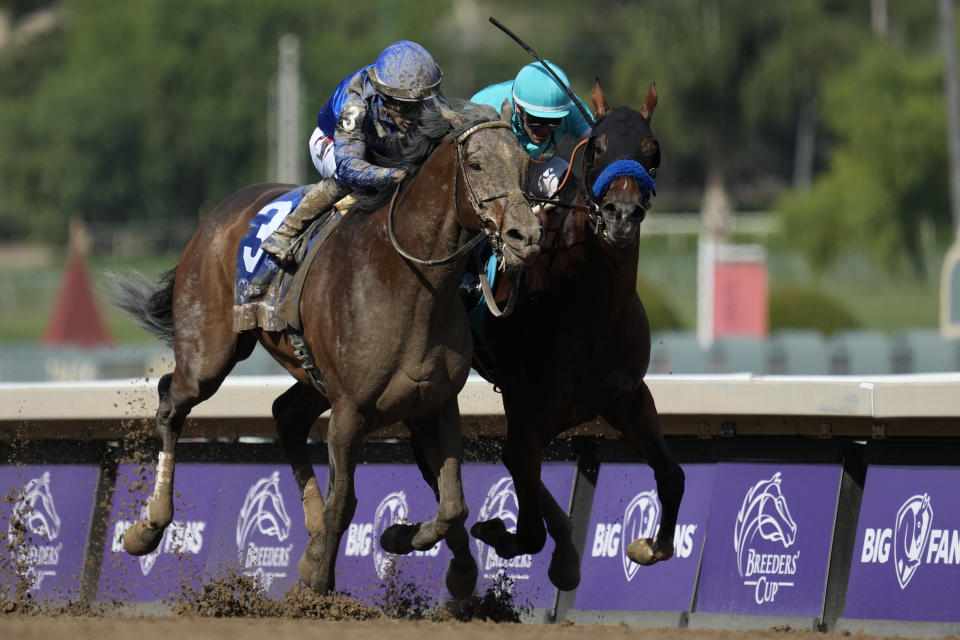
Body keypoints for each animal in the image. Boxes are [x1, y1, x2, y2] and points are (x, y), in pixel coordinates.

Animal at [110, 102, 540, 596]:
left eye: (525, 165)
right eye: (476, 164)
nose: (526, 236)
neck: (410, 286)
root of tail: (217, 214)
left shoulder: (436, 403)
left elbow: (452, 503)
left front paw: (409, 543)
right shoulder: (350, 410)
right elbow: (345, 503)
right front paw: (318, 584)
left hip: (310, 376)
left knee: (284, 415)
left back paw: (312, 534)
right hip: (209, 355)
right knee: (170, 401)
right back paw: (147, 528)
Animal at [466, 84, 684, 592]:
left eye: (652, 150)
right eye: (597, 147)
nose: (621, 214)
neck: (587, 309)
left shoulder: (626, 397)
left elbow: (672, 475)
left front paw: (650, 545)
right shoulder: (527, 411)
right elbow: (525, 525)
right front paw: (495, 529)